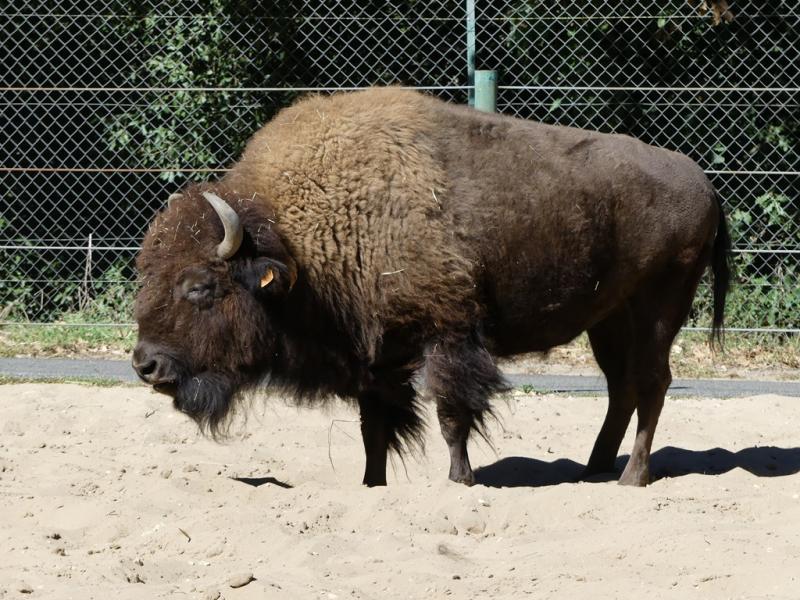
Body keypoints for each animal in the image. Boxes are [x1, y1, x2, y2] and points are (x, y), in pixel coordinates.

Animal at [132, 88, 730, 487]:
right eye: (146, 272)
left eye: (200, 287)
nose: (145, 364)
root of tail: (702, 182)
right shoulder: (373, 356)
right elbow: (374, 427)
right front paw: (372, 486)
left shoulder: (448, 333)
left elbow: (450, 415)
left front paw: (460, 481)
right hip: (608, 318)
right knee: (622, 387)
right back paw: (593, 470)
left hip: (659, 307)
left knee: (652, 382)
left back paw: (632, 477)